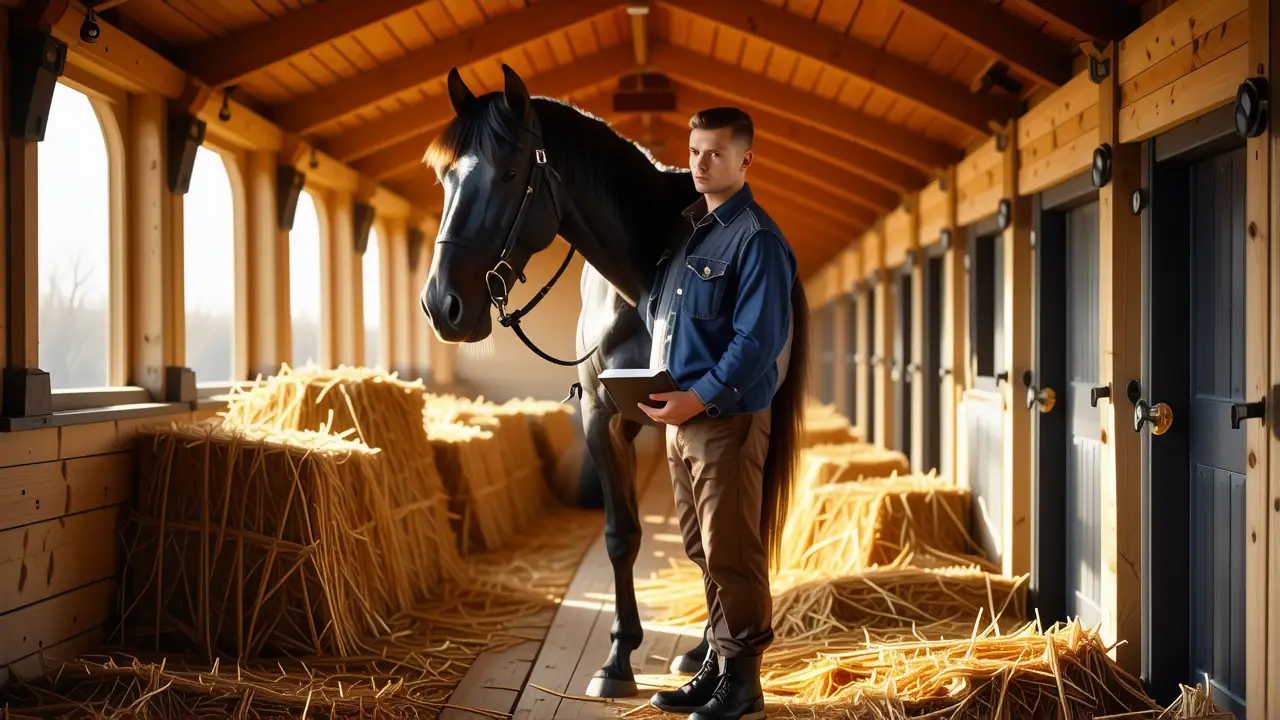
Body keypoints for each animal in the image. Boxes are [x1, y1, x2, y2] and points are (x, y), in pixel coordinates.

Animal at [418, 63, 810, 698]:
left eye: (509, 173)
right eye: (446, 177)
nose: (441, 306)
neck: (646, 274)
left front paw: (650, 655)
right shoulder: (605, 419)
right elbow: (622, 535)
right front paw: (618, 658)